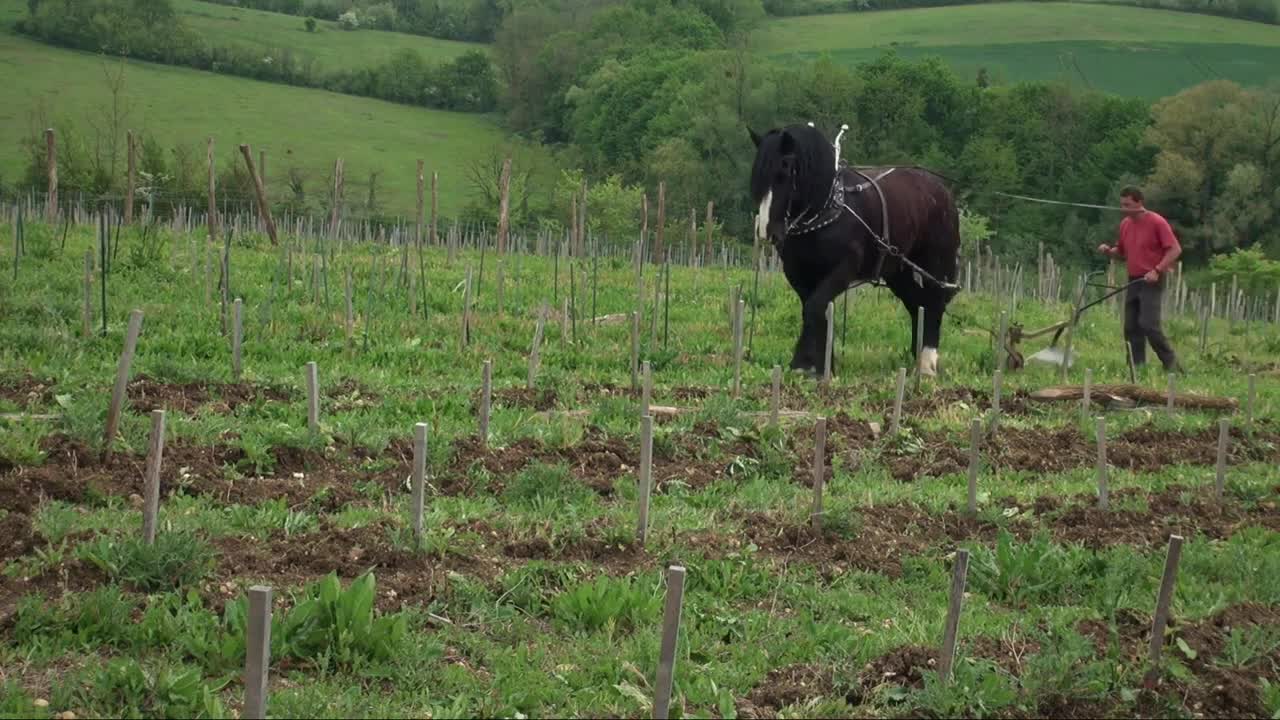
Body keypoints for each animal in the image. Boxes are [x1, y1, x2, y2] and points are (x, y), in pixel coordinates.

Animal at [747, 122, 962, 376]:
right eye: (757, 179)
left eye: (784, 175)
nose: (766, 231)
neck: (827, 209)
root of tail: (942, 191)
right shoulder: (798, 273)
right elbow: (816, 310)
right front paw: (817, 365)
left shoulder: (844, 268)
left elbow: (815, 307)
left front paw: (807, 364)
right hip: (898, 271)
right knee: (918, 304)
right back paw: (916, 358)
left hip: (935, 263)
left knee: (934, 303)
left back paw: (927, 364)